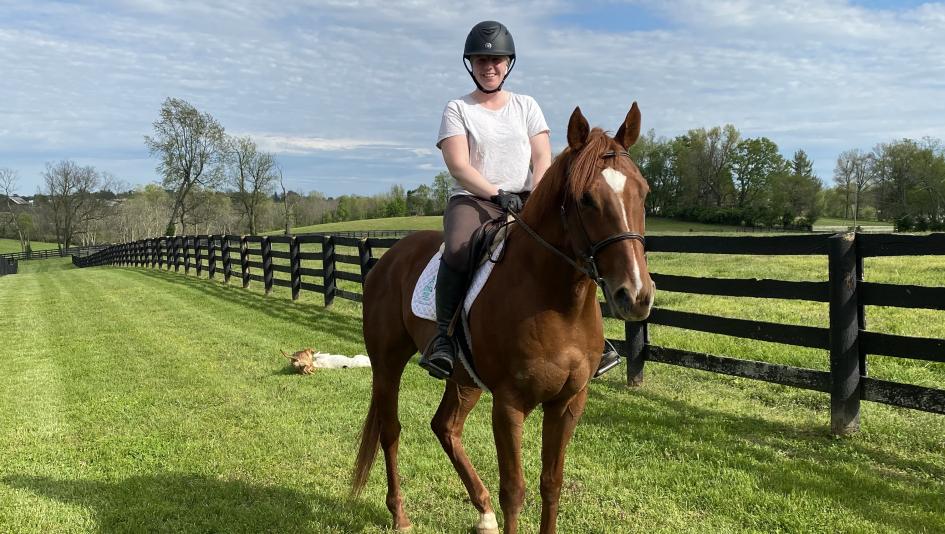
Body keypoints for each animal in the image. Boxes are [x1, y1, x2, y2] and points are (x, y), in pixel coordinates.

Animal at [351, 104, 655, 534]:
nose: (635, 296)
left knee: (446, 427)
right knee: (390, 430)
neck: (554, 300)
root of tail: (387, 258)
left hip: (464, 379)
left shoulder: (567, 402)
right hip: (387, 363)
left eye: (643, 193)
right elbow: (514, 490)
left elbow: (551, 483)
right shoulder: (510, 404)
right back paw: (401, 515)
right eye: (585, 199)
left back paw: (483, 511)